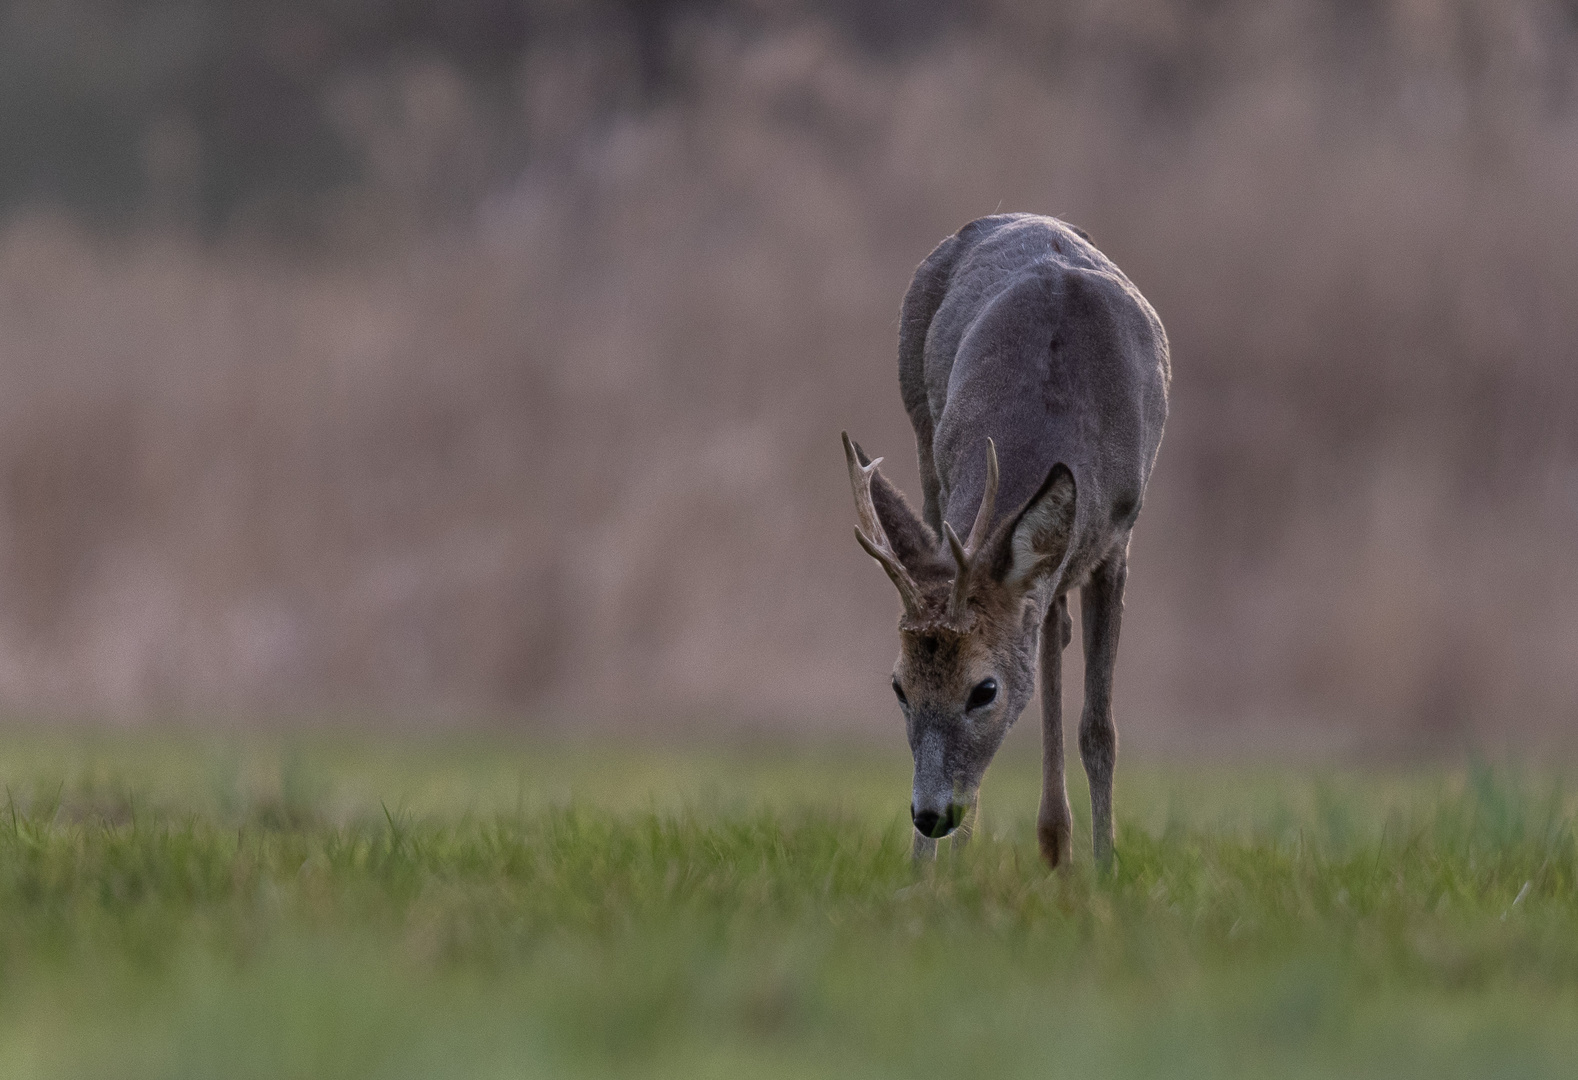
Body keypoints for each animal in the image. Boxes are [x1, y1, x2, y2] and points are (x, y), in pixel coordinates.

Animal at [845, 213, 1167, 871]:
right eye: (898, 686)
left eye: (983, 690)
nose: (929, 815)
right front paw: (928, 875)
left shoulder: (1119, 536)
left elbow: (1099, 727)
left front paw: (1106, 867)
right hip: (922, 433)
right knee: (1046, 623)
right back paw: (1041, 844)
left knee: (1050, 629)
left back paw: (1058, 846)